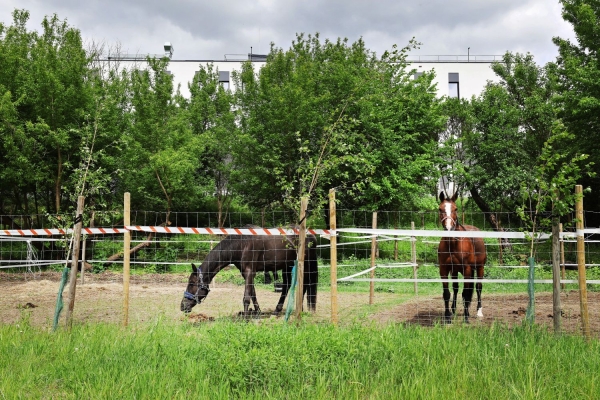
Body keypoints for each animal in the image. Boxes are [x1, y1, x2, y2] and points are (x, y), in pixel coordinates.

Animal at [179, 227, 316, 318]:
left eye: (192, 283)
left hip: (304, 265)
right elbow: (253, 293)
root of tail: (310, 236)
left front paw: (245, 317)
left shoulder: (250, 272)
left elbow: (246, 297)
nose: (183, 306)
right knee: (288, 286)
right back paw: (281, 310)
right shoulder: (246, 274)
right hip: (287, 266)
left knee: (303, 285)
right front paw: (258, 312)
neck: (242, 243)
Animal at [438, 192, 486, 324]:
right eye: (440, 209)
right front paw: (448, 317)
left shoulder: (467, 269)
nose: (449, 228)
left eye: (455, 209)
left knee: (478, 288)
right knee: (456, 289)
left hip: (479, 268)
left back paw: (479, 312)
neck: (453, 244)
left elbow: (466, 292)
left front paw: (466, 318)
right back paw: (454, 310)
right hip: (455, 271)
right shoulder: (444, 270)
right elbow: (447, 293)